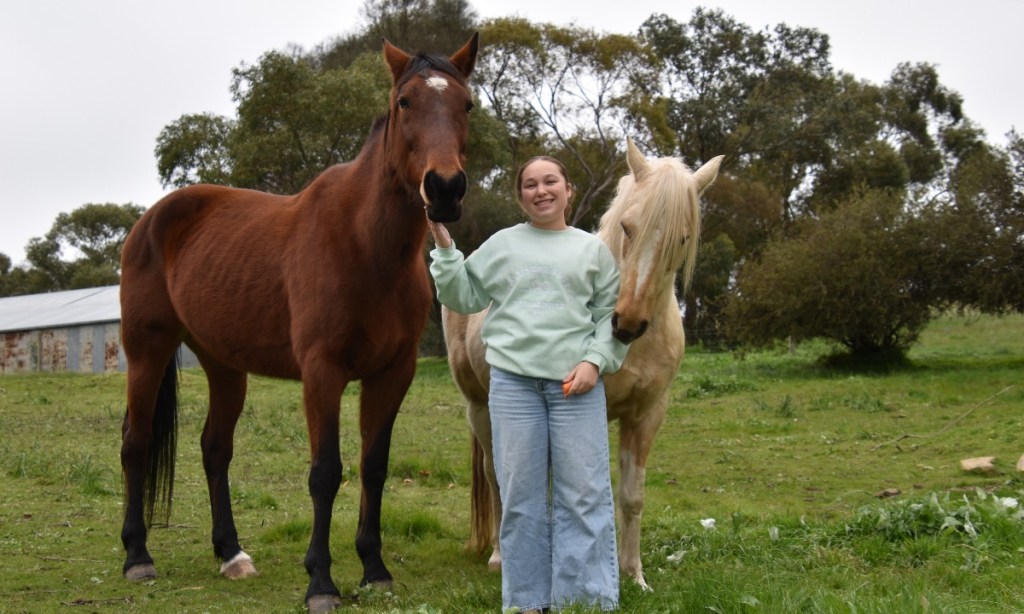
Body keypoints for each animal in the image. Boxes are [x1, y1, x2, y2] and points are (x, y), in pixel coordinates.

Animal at [118, 34, 478, 612]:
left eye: (466, 104)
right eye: (405, 102)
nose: (444, 188)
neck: (366, 245)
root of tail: (152, 218)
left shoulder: (393, 373)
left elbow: (374, 466)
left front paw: (374, 570)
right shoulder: (322, 372)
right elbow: (325, 472)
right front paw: (321, 582)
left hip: (223, 364)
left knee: (215, 449)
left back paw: (231, 554)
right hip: (146, 351)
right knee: (136, 441)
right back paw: (137, 555)